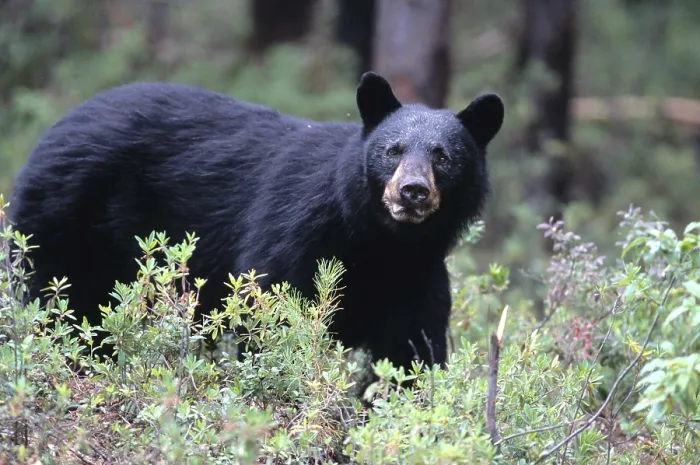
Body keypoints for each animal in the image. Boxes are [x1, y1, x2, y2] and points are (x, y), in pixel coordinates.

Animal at [9, 71, 504, 374]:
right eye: (393, 150)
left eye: (444, 157)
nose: (412, 191)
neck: (381, 242)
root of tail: (50, 132)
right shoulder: (297, 231)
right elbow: (270, 310)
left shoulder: (417, 275)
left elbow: (412, 351)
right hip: (63, 218)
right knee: (59, 300)